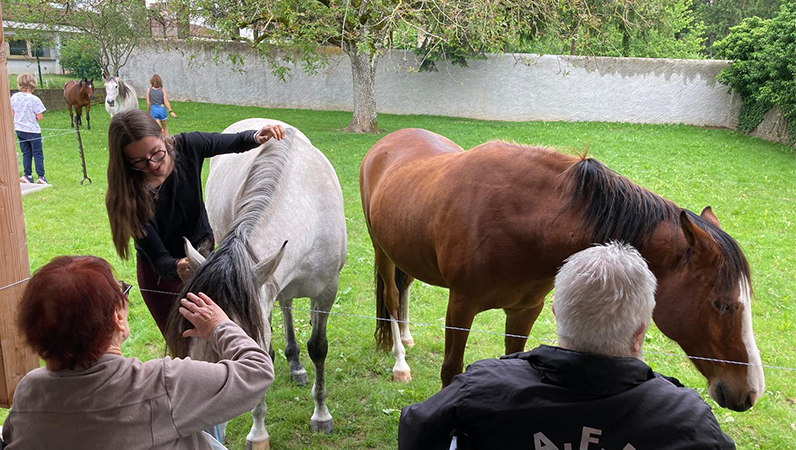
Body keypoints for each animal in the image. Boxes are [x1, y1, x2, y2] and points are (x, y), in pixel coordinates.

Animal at [165, 119, 347, 449]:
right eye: (188, 335)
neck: (306, 206)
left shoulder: (327, 291)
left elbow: (318, 348)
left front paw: (321, 416)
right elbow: (268, 355)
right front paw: (259, 432)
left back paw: (297, 367)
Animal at [360, 128, 765, 412]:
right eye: (722, 304)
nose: (750, 391)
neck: (524, 218)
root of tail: (389, 142)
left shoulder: (525, 310)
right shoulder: (460, 307)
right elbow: (451, 369)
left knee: (406, 286)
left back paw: (407, 336)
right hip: (382, 251)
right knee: (392, 297)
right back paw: (400, 360)